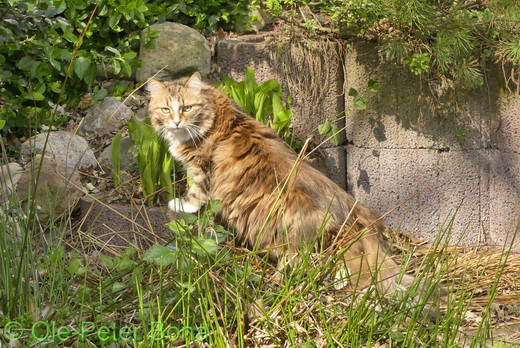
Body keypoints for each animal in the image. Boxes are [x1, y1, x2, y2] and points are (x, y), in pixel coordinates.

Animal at [147, 70, 418, 294]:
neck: (215, 115)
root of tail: (356, 219)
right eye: (165, 110)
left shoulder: (202, 169)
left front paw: (180, 205)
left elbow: (196, 193)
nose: (176, 122)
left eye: (187, 108)